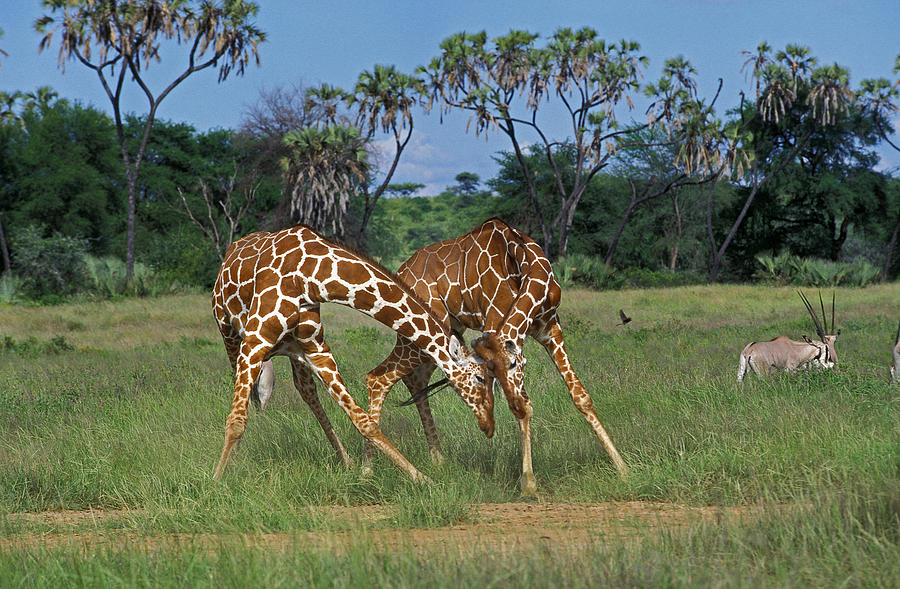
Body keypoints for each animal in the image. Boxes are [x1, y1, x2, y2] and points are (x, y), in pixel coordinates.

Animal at [208, 226, 496, 482]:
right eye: (481, 378)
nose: (490, 426)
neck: (312, 275)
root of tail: (230, 252)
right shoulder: (255, 340)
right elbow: (236, 421)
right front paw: (217, 479)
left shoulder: (316, 349)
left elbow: (364, 421)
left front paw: (421, 478)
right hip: (229, 334)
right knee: (248, 396)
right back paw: (232, 461)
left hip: (293, 351)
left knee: (306, 389)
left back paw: (345, 460)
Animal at [364, 216, 624, 492]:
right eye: (490, 372)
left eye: (514, 364)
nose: (517, 408)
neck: (526, 266)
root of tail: (402, 271)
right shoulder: (496, 321)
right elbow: (527, 404)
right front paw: (528, 483)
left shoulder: (549, 327)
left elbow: (580, 396)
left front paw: (622, 468)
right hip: (419, 332)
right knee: (379, 377)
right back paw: (368, 471)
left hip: (443, 332)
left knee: (415, 379)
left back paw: (437, 461)